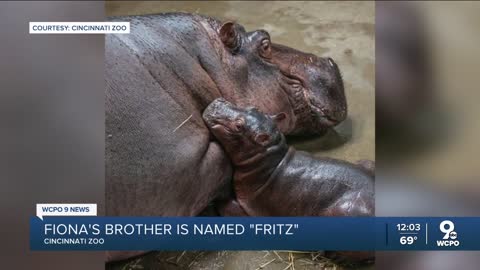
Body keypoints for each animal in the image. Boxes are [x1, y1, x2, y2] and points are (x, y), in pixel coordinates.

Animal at [202, 98, 376, 218]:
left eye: (238, 126)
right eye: (252, 107)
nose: (217, 102)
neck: (271, 159)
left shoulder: (250, 205)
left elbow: (228, 205)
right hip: (367, 163)